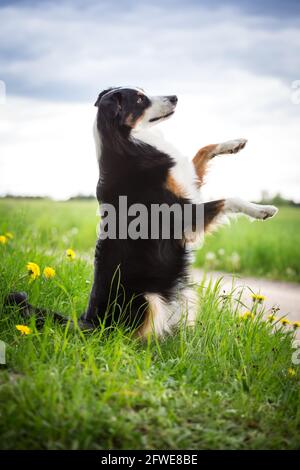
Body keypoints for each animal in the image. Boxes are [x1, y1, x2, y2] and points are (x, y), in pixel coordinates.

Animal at [7, 87, 278, 338]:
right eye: (139, 99)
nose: (175, 97)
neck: (128, 142)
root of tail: (89, 321)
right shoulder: (181, 217)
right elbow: (229, 199)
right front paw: (263, 210)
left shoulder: (187, 185)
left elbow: (202, 150)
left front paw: (234, 144)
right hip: (147, 298)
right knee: (132, 335)